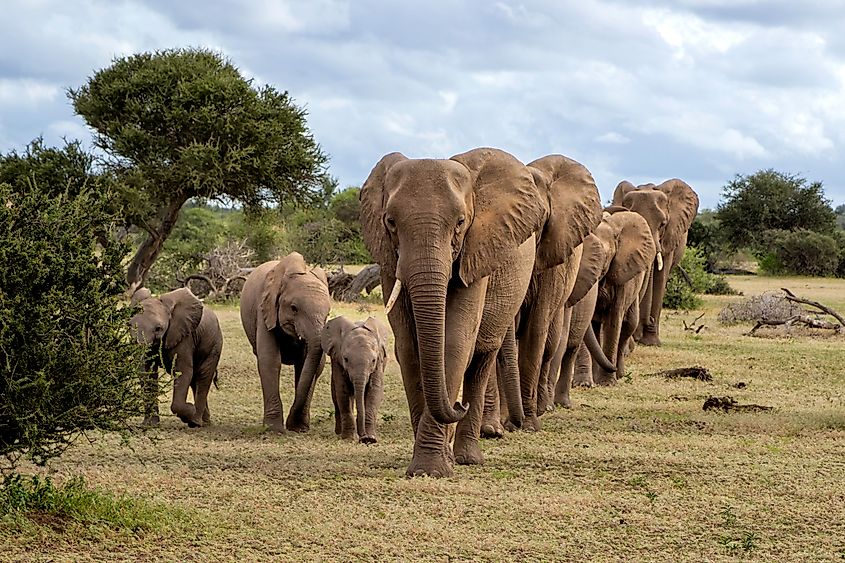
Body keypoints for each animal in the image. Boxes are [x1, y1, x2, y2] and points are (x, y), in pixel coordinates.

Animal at [129, 287, 223, 428]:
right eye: (129, 326)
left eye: (158, 329)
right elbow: (149, 373)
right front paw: (150, 425)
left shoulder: (184, 338)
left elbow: (182, 372)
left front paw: (190, 410)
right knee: (195, 379)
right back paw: (205, 422)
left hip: (214, 346)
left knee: (203, 376)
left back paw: (195, 422)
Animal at [240, 252, 331, 433]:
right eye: (294, 308)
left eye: (328, 313)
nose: (290, 425)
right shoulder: (264, 309)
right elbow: (270, 361)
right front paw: (274, 429)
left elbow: (311, 365)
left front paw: (298, 428)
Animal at [321, 316, 390, 444]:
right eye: (346, 359)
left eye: (373, 360)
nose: (364, 438)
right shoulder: (337, 360)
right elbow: (343, 391)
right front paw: (349, 438)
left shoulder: (379, 362)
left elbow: (374, 391)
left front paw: (371, 438)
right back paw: (339, 432)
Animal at [360, 147, 550, 476]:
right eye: (391, 222)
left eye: (461, 222)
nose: (457, 406)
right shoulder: (388, 260)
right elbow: (409, 346)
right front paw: (427, 466)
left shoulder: (477, 250)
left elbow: (457, 340)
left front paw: (433, 469)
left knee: (481, 359)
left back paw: (466, 457)